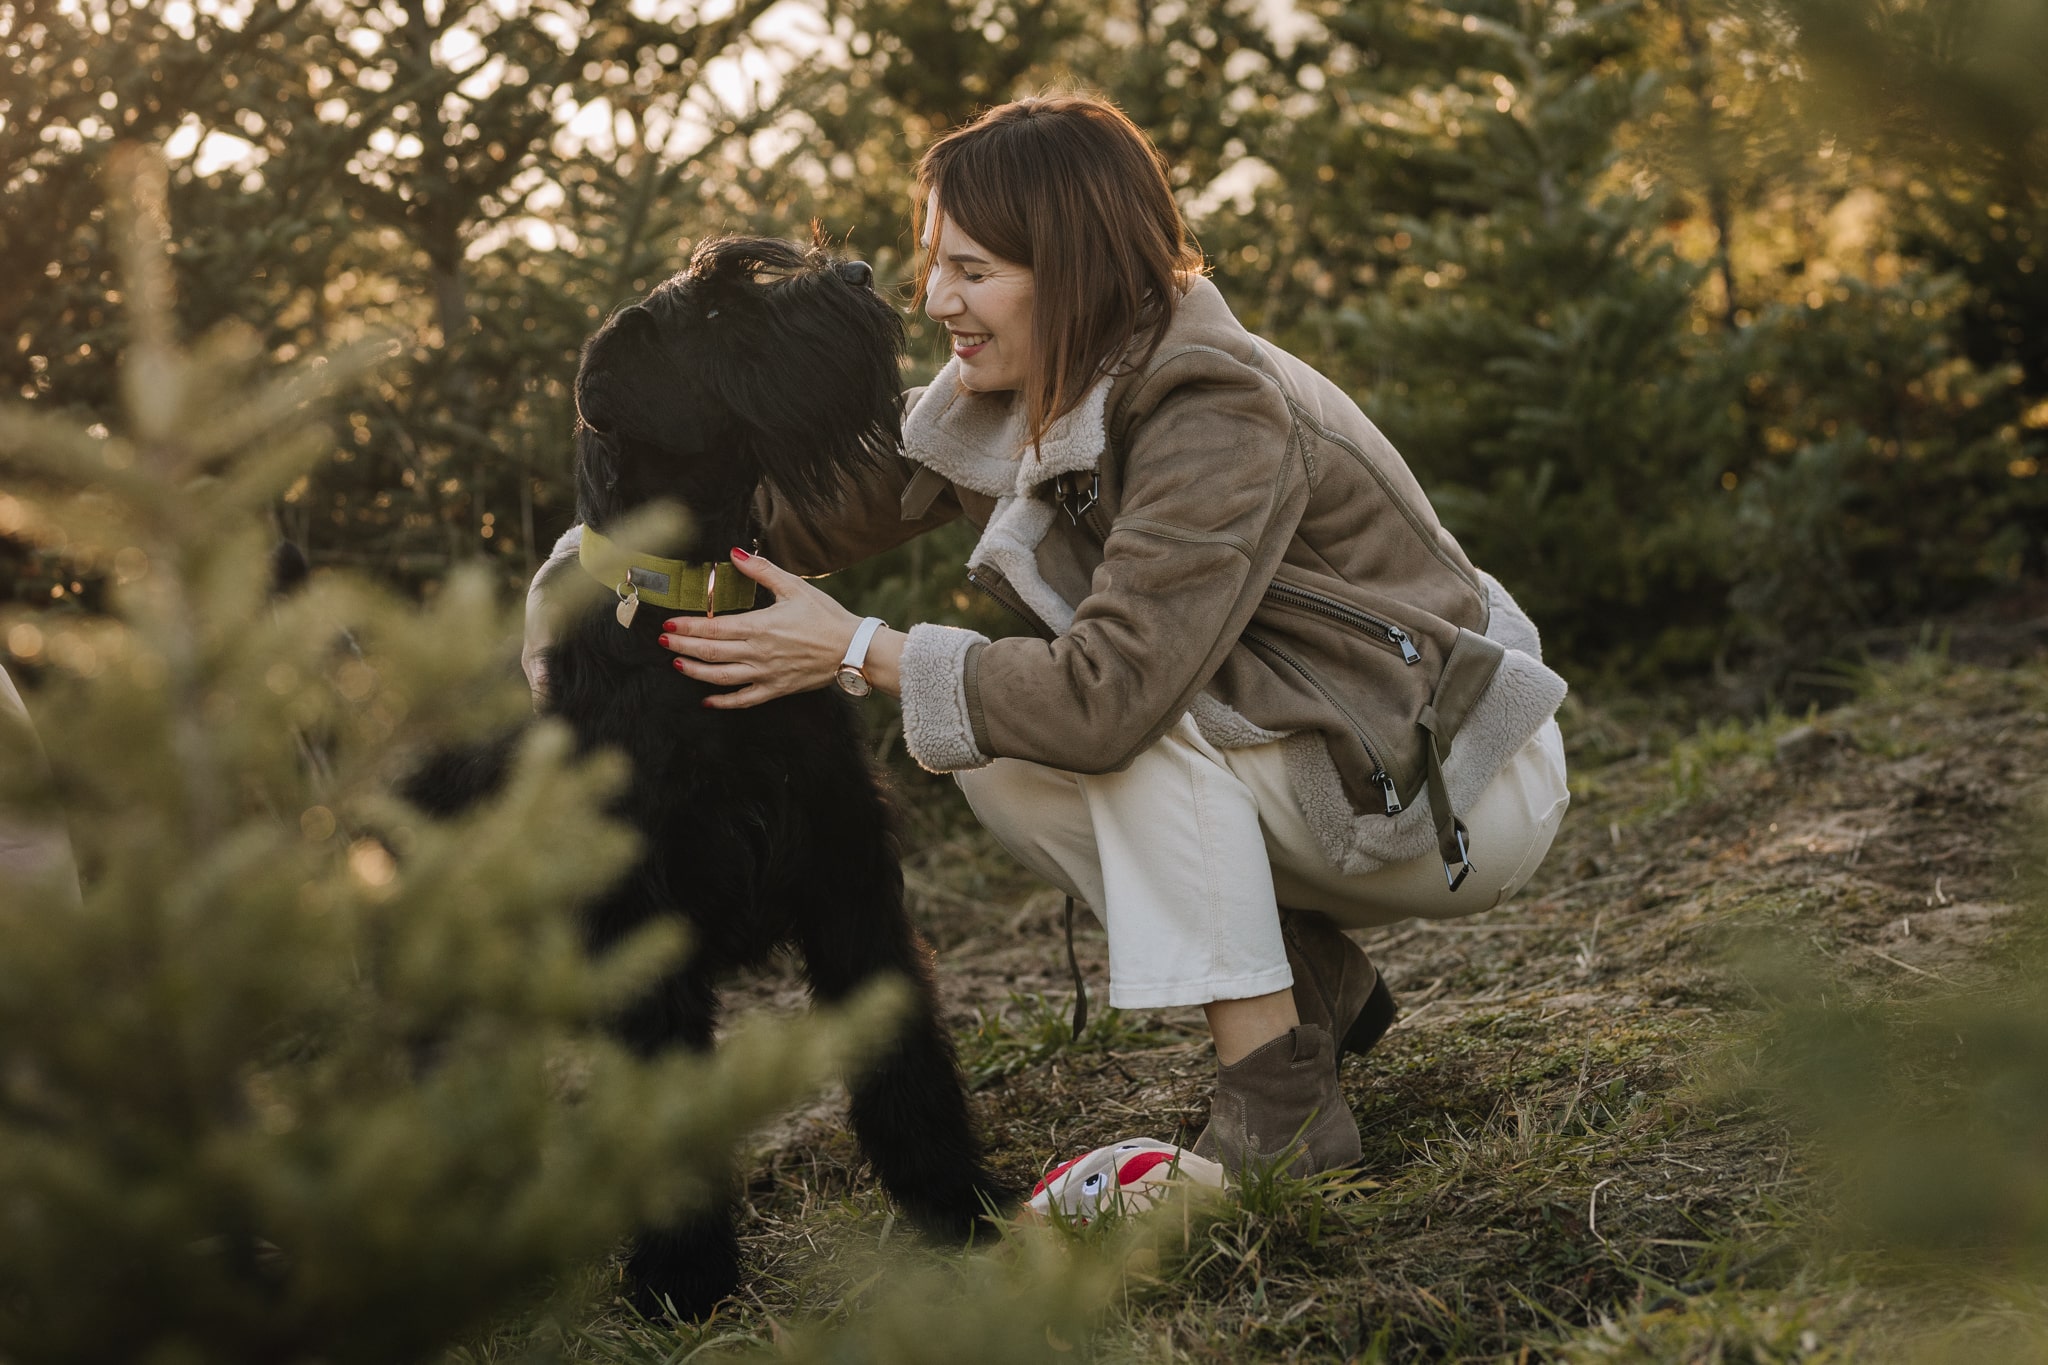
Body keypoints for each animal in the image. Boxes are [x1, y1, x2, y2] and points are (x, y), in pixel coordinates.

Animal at [405, 237, 1007, 1326]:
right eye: (721, 317)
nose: (858, 274)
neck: (700, 607)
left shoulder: (849, 882)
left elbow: (906, 1061)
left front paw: (955, 1205)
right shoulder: (648, 931)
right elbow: (664, 1107)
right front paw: (683, 1277)